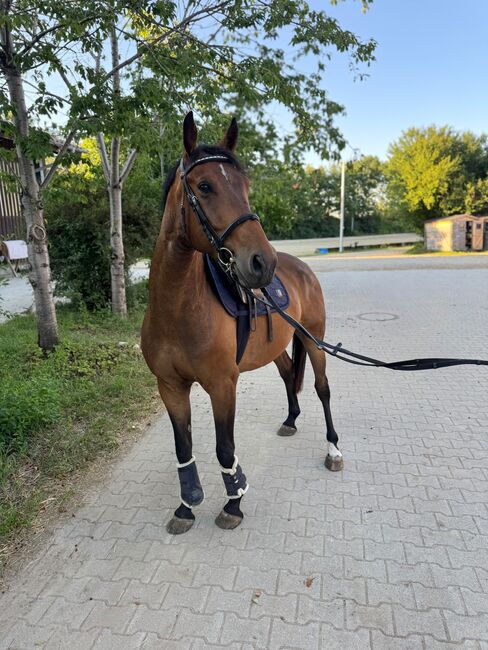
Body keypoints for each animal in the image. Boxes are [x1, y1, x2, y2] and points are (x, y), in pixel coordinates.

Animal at [141, 112, 343, 534]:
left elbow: (224, 447)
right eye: (204, 186)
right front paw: (186, 506)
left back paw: (333, 449)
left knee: (322, 388)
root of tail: (301, 267)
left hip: (314, 340)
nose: (261, 262)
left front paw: (233, 503)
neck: (177, 311)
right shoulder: (170, 386)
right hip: (276, 346)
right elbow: (183, 447)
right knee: (287, 372)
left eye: (245, 187)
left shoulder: (222, 386)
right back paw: (290, 420)